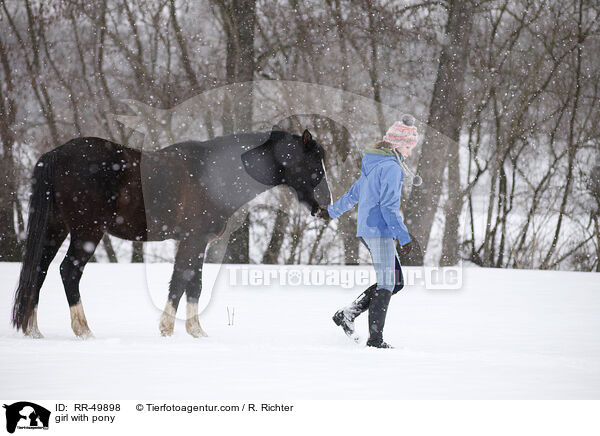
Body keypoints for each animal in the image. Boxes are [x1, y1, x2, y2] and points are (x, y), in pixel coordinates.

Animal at [11, 129, 330, 338]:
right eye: (313, 164)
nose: (325, 207)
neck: (217, 174)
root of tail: (56, 154)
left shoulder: (192, 242)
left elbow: (189, 283)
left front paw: (193, 332)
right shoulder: (194, 240)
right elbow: (183, 282)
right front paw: (171, 330)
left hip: (56, 229)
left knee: (39, 270)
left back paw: (33, 330)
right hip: (86, 232)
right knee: (68, 271)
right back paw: (84, 330)